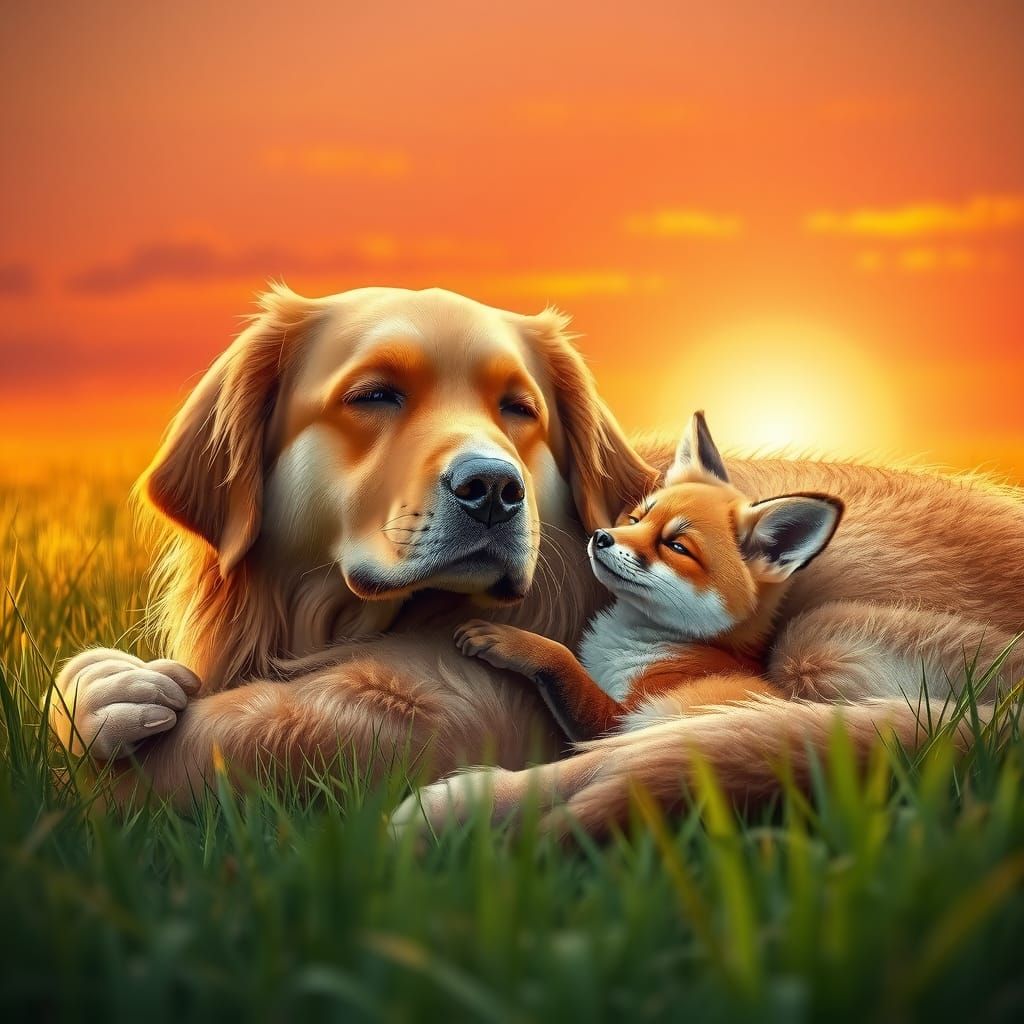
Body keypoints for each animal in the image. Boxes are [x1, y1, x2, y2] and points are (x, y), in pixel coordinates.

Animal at [454, 412, 844, 740]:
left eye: (676, 546)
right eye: (637, 519)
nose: (600, 537)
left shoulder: (619, 721)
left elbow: (561, 658)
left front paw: (509, 639)